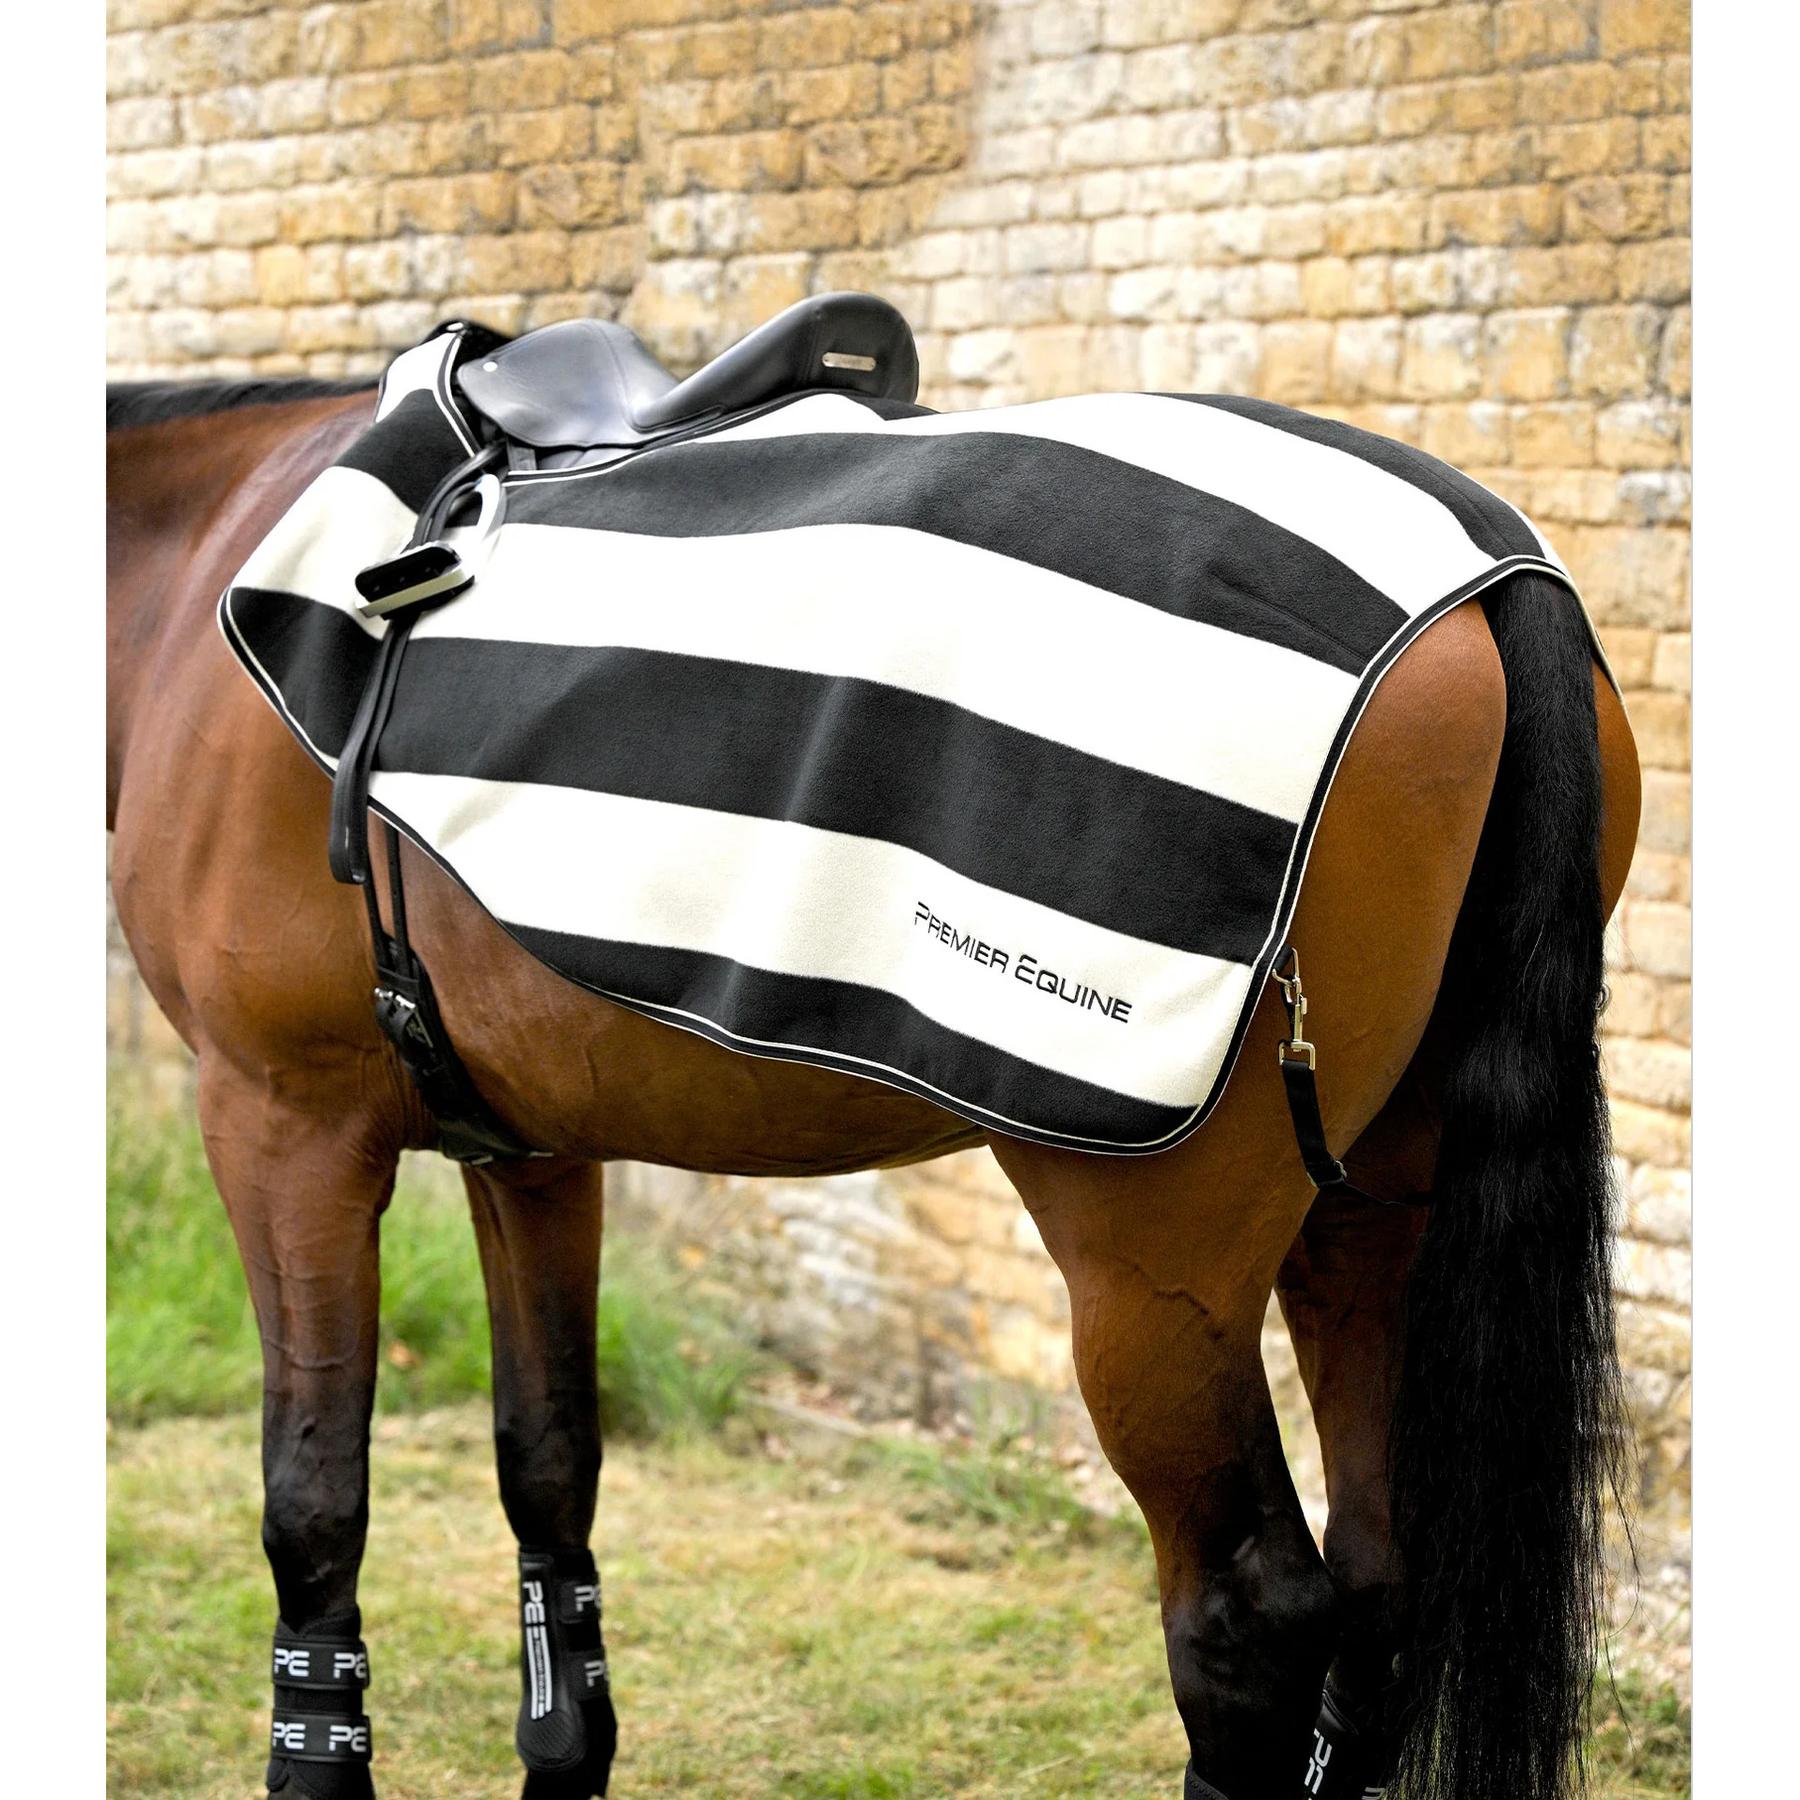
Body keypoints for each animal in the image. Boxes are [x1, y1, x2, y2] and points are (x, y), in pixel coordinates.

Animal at [106, 364, 1641, 1800]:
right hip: (1369, 1216)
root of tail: (1490, 582)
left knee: (1249, 1617)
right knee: (1384, 1578)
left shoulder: (281, 1123)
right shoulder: (530, 1151)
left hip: (1157, 1268)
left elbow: (313, 1499)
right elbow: (548, 1459)